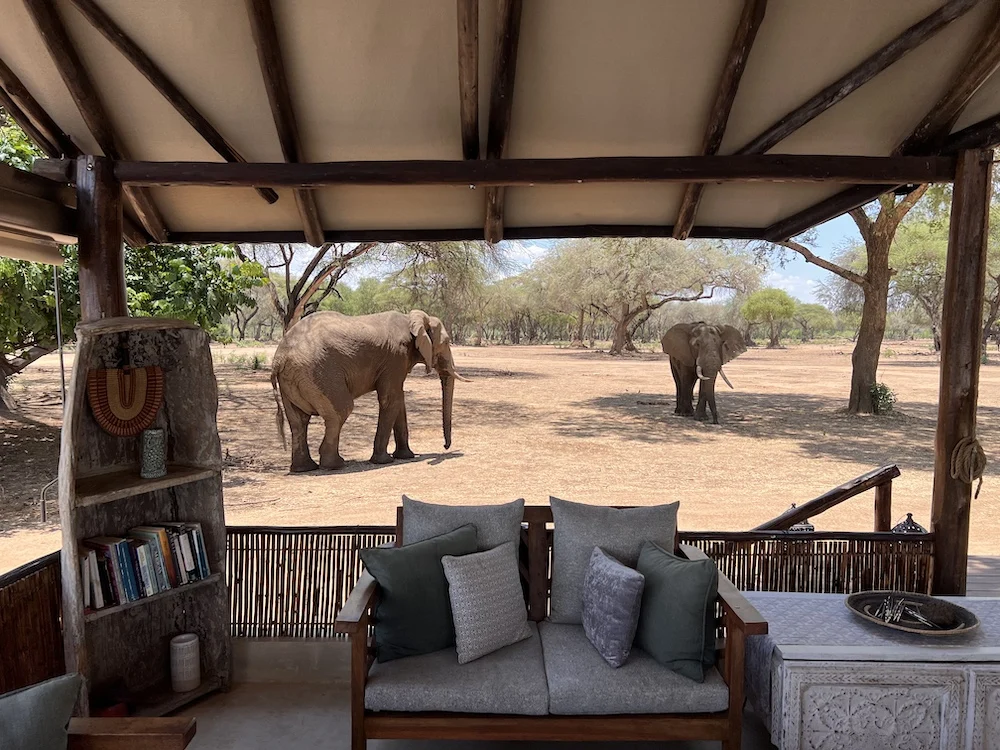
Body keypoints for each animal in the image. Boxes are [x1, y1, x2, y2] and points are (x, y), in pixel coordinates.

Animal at [270, 309, 467, 472]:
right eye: (447, 342)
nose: (445, 447)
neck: (412, 318)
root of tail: (278, 359)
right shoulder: (395, 357)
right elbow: (390, 399)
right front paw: (384, 461)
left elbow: (399, 401)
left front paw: (406, 456)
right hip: (319, 373)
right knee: (341, 410)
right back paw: (335, 465)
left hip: (293, 379)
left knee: (298, 420)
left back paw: (304, 468)